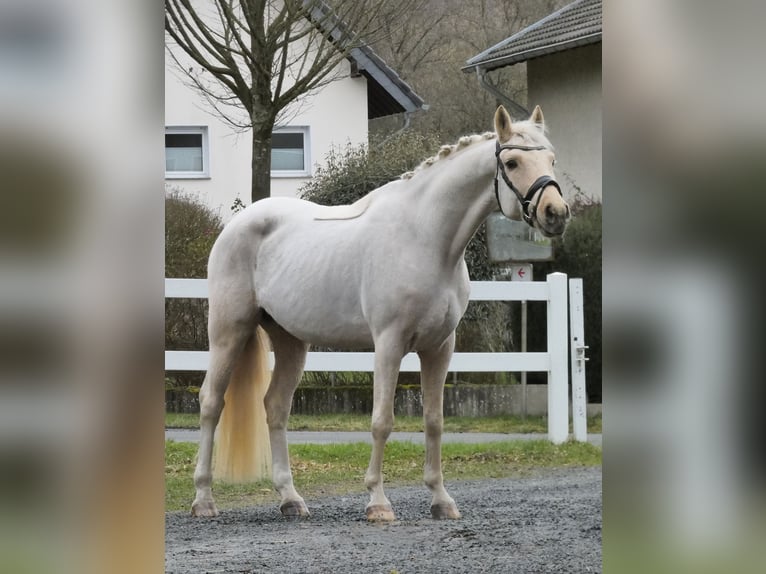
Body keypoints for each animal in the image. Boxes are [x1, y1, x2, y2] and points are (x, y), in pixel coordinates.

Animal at [195, 103, 572, 520]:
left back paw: (291, 499)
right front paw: (377, 502)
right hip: (229, 330)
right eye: (512, 161)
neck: (426, 240)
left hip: (291, 340)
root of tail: (237, 225)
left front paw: (441, 500)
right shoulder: (389, 344)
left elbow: (434, 421)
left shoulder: (440, 348)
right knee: (211, 402)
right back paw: (203, 499)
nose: (555, 213)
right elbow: (382, 421)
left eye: (552, 159)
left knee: (275, 407)